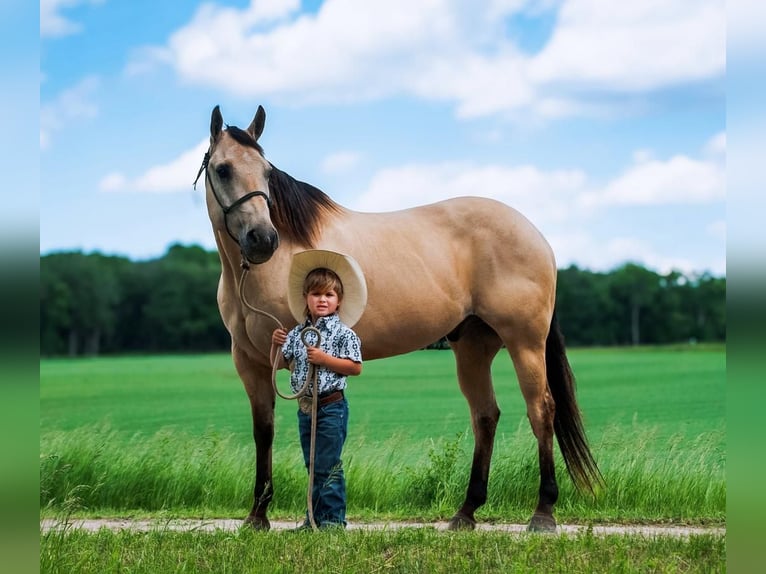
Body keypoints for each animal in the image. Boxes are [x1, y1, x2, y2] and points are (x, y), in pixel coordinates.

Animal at [198, 106, 608, 532]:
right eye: (224, 169)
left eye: (266, 171)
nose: (263, 239)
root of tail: (535, 235)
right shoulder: (251, 363)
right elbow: (264, 429)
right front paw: (257, 516)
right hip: (474, 347)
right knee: (485, 415)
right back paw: (466, 512)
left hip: (525, 342)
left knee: (541, 409)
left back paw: (542, 513)